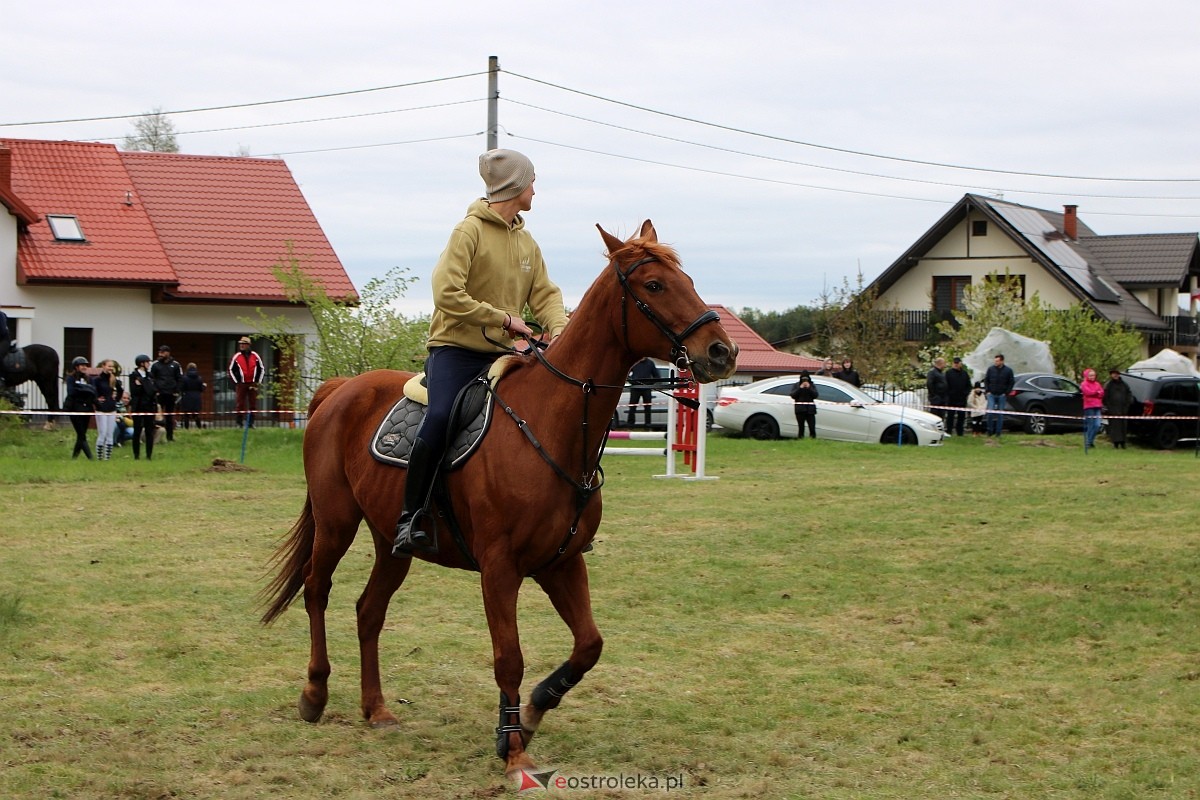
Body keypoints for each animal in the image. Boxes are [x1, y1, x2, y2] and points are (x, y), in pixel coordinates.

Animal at [258, 219, 734, 777]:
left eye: (688, 279)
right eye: (654, 285)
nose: (722, 351)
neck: (551, 424)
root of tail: (338, 391)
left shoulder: (562, 561)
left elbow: (589, 645)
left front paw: (530, 713)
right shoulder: (500, 569)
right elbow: (510, 656)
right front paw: (513, 747)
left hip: (391, 543)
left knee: (368, 610)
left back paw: (376, 709)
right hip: (336, 522)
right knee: (317, 591)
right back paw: (314, 694)